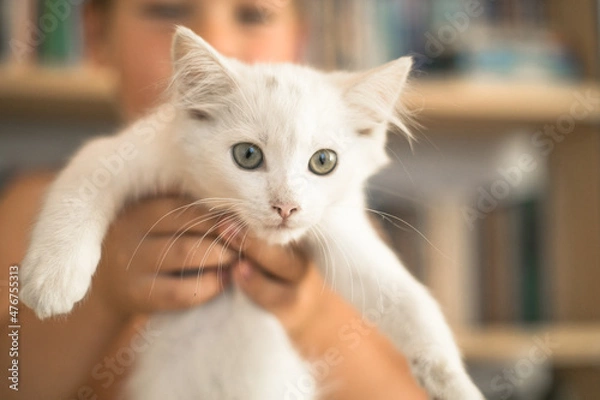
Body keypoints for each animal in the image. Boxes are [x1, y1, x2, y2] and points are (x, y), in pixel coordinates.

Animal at [19, 26, 482, 398]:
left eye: (323, 162)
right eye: (247, 155)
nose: (286, 206)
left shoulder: (340, 230)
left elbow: (408, 299)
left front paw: (454, 382)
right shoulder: (118, 155)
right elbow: (77, 191)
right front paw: (52, 278)